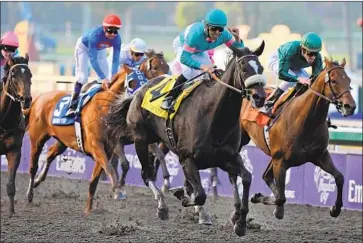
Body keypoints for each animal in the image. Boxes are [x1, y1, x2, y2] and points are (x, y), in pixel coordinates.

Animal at [26, 49, 171, 215]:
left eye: (167, 67)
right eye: (132, 82)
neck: (105, 109)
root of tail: (39, 97)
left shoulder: (111, 147)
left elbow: (95, 180)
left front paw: (88, 209)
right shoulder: (99, 146)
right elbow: (112, 167)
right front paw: (118, 190)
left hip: (64, 140)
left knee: (50, 153)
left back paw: (38, 180)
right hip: (37, 140)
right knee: (33, 167)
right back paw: (29, 194)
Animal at [105, 42, 268, 236]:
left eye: (261, 68)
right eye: (244, 68)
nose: (260, 97)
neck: (214, 117)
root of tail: (138, 91)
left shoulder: (227, 158)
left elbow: (246, 177)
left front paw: (241, 222)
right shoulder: (187, 158)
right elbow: (200, 195)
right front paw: (182, 196)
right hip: (140, 139)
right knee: (146, 174)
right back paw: (162, 206)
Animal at [237, 57, 356, 220]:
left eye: (348, 79)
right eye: (333, 80)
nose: (350, 106)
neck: (307, 121)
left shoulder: (320, 155)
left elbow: (340, 177)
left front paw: (335, 209)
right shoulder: (280, 162)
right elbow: (281, 197)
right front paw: (261, 198)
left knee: (266, 176)